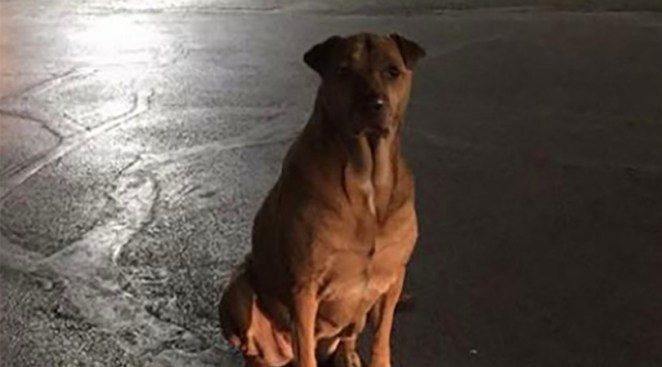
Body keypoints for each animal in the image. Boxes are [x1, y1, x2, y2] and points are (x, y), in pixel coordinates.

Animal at [218, 32, 426, 367]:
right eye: (343, 71)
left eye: (392, 71)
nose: (373, 104)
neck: (367, 177)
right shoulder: (304, 287)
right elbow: (305, 351)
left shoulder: (393, 278)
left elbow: (381, 338)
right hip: (239, 287)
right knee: (254, 348)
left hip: (358, 315)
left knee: (348, 334)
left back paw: (348, 355)